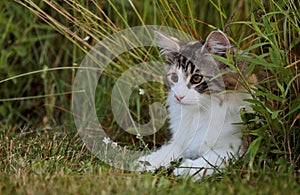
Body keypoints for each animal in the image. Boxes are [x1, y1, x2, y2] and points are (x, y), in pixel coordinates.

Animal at [137, 29, 254, 180]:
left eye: (196, 78)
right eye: (174, 78)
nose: (178, 96)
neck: (201, 112)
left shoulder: (235, 146)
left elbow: (207, 161)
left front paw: (184, 170)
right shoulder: (183, 140)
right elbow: (169, 150)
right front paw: (147, 162)